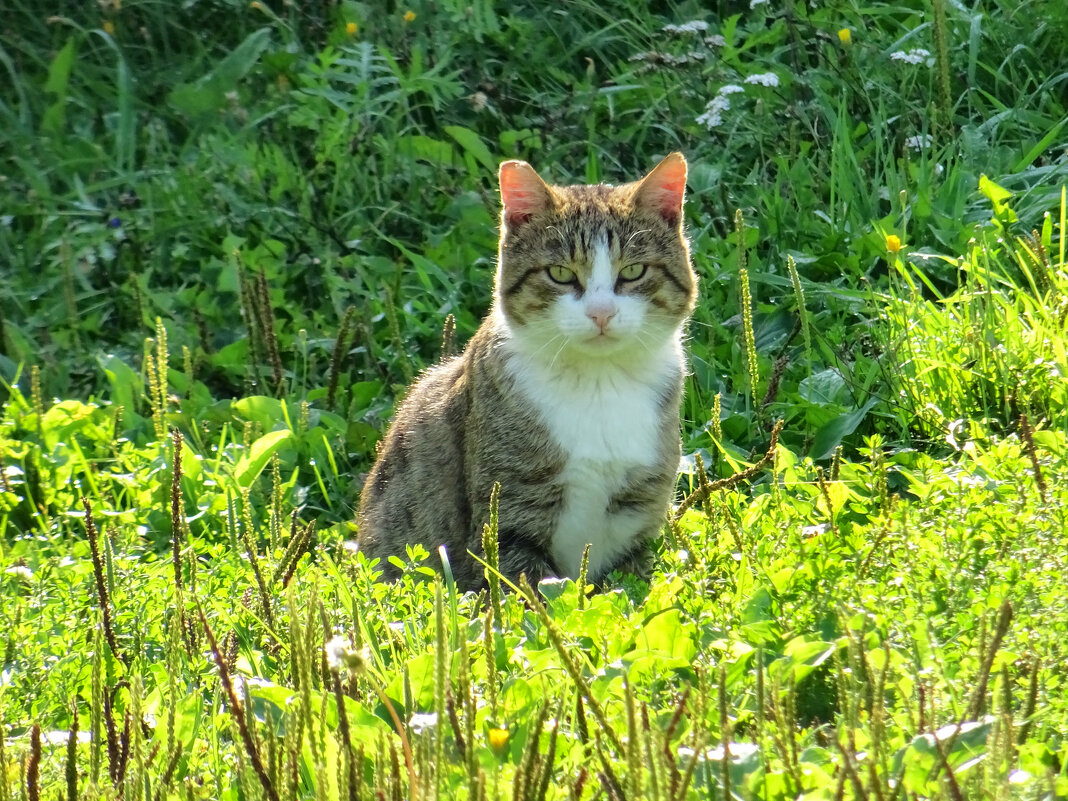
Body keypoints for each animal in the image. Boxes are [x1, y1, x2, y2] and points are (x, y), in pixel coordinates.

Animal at [354, 151, 696, 589]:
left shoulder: (638, 513)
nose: (601, 313)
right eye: (561, 274)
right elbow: (531, 592)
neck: (598, 381)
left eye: (634, 271)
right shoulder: (507, 516)